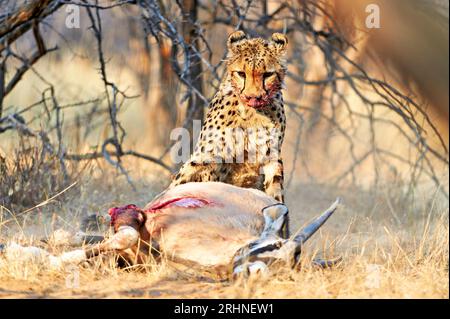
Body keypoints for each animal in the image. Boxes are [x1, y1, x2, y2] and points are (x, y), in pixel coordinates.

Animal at [171, 31, 290, 236]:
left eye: (267, 74)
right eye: (241, 73)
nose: (253, 97)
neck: (251, 113)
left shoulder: (271, 156)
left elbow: (275, 193)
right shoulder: (209, 155)